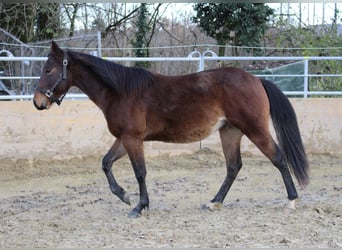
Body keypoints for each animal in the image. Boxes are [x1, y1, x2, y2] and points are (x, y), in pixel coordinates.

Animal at [33, 40, 308, 217]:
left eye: (49, 69)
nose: (38, 102)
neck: (121, 91)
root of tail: (257, 79)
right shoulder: (124, 138)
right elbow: (106, 163)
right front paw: (123, 195)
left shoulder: (133, 139)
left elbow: (140, 172)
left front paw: (139, 206)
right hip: (230, 132)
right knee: (233, 167)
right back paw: (214, 203)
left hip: (255, 130)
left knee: (278, 158)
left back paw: (292, 200)